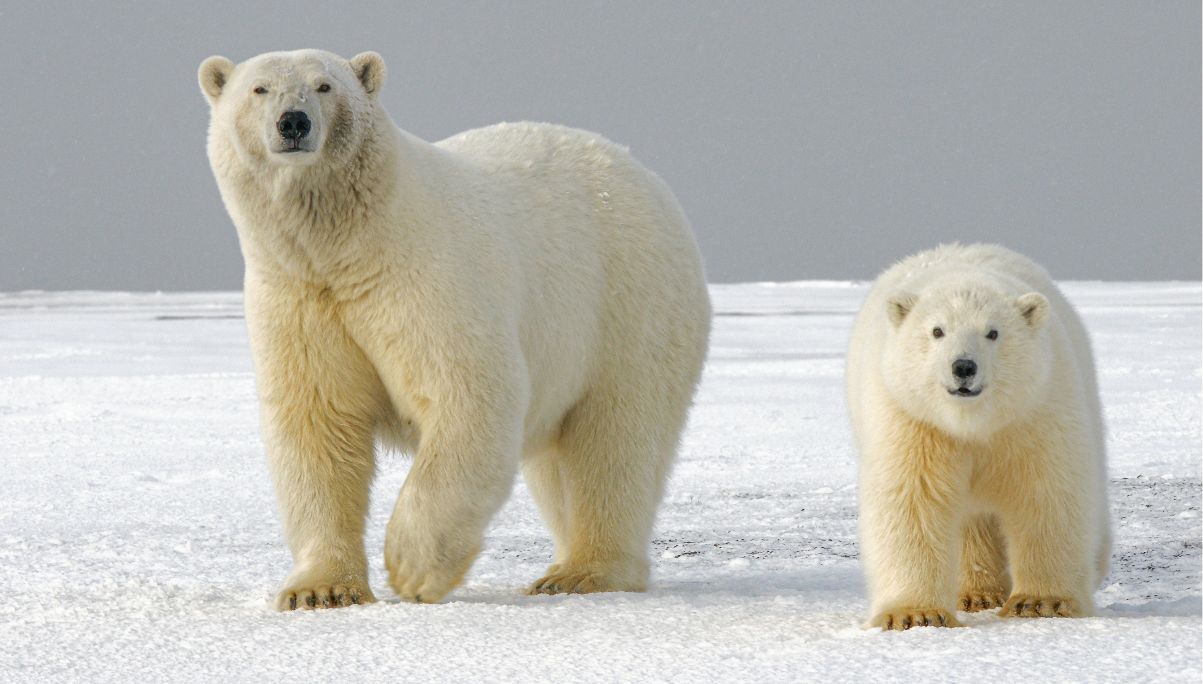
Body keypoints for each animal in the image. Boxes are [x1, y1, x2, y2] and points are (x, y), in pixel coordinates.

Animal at [198, 49, 711, 609]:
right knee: (560, 464)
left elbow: (468, 394)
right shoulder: (299, 298)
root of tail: (644, 173)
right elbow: (318, 424)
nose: (294, 122)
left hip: (627, 304)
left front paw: (411, 567)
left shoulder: (425, 278)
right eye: (260, 89)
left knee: (615, 440)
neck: (350, 246)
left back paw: (583, 572)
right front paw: (320, 590)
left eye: (325, 86)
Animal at [845, 243, 1110, 630]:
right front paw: (915, 614)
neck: (973, 423)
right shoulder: (913, 420)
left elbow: (1047, 492)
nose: (963, 366)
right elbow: (912, 500)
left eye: (993, 332)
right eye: (937, 331)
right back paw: (977, 593)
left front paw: (1040, 602)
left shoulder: (1034, 411)